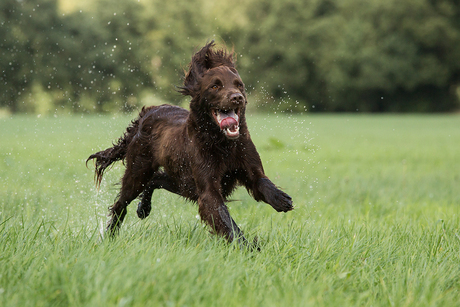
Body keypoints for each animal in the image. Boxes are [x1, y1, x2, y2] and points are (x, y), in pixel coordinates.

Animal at [88, 41, 292, 248]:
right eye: (215, 86)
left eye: (239, 85)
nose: (237, 97)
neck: (222, 144)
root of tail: (148, 112)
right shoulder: (207, 189)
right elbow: (225, 220)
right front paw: (247, 247)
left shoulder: (248, 166)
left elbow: (262, 182)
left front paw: (280, 199)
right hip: (139, 171)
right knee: (121, 203)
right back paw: (111, 234)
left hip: (182, 181)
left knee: (156, 179)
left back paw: (143, 208)